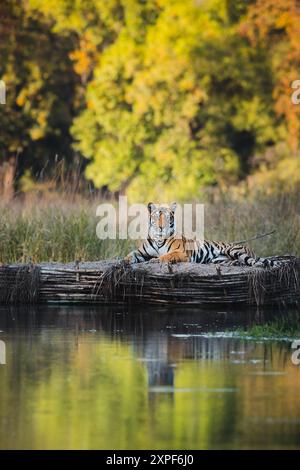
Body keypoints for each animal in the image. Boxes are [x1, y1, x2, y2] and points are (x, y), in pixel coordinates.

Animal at [123, 202, 278, 268]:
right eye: (157, 217)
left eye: (168, 217)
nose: (161, 227)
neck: (159, 239)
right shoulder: (141, 252)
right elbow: (130, 255)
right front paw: (123, 261)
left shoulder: (180, 252)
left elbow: (165, 256)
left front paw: (155, 260)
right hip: (218, 260)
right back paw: (235, 263)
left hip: (234, 250)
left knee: (252, 261)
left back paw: (258, 264)